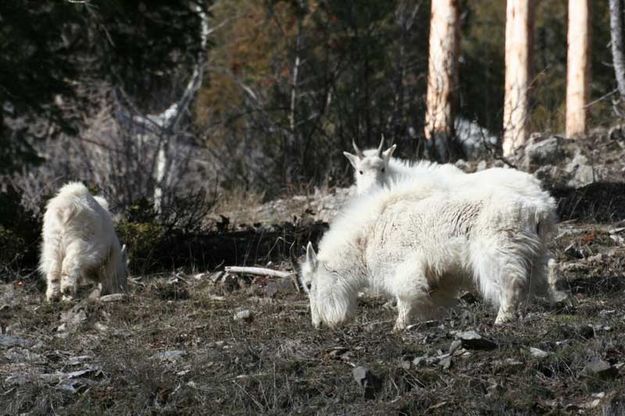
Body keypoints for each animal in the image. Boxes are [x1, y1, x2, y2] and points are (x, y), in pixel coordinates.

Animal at [300, 181, 552, 332]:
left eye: (309, 284)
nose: (317, 323)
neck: (365, 239)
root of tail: (537, 211)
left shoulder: (403, 268)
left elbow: (404, 298)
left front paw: (398, 327)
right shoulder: (437, 278)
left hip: (498, 254)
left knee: (511, 285)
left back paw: (501, 320)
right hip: (532, 253)